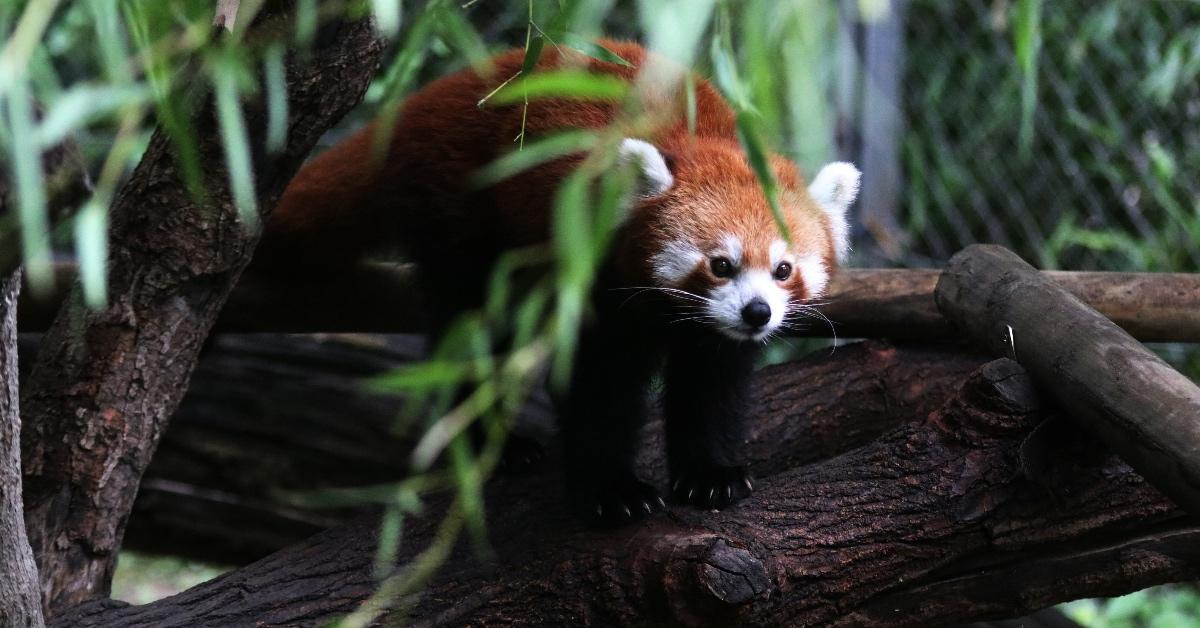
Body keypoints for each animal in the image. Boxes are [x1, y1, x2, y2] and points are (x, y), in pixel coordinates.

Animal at [260, 40, 864, 525]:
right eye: (721, 264)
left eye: (783, 270)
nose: (757, 312)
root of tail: (437, 93)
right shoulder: (598, 281)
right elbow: (599, 384)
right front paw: (613, 492)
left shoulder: (715, 335)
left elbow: (712, 386)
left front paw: (710, 475)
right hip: (459, 209)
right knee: (476, 326)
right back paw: (497, 444)